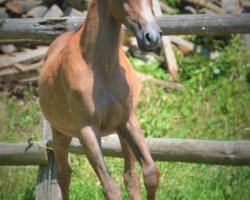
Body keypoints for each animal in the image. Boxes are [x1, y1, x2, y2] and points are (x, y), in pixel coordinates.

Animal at [38, 0, 161, 199]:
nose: (153, 37)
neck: (102, 69)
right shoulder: (87, 129)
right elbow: (110, 188)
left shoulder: (128, 120)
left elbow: (150, 173)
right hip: (60, 133)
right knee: (64, 175)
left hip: (120, 131)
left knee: (131, 176)